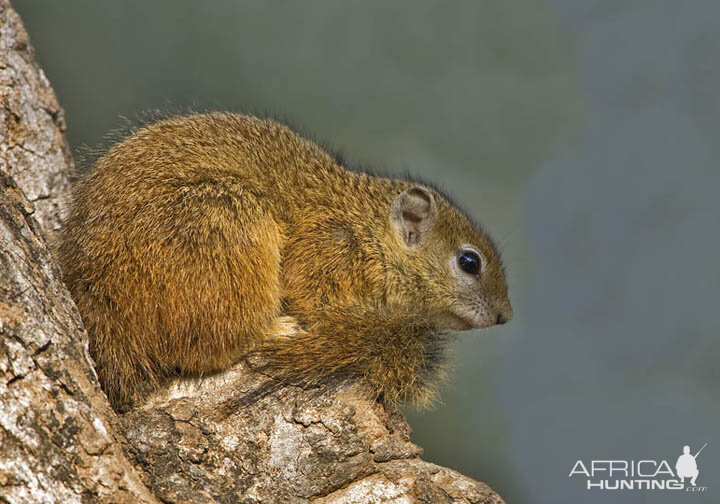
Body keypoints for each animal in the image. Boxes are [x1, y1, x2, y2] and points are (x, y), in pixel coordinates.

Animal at [60, 112, 512, 412]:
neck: (368, 230)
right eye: (469, 262)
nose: (505, 315)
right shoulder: (327, 251)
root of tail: (102, 305)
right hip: (224, 223)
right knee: (210, 347)